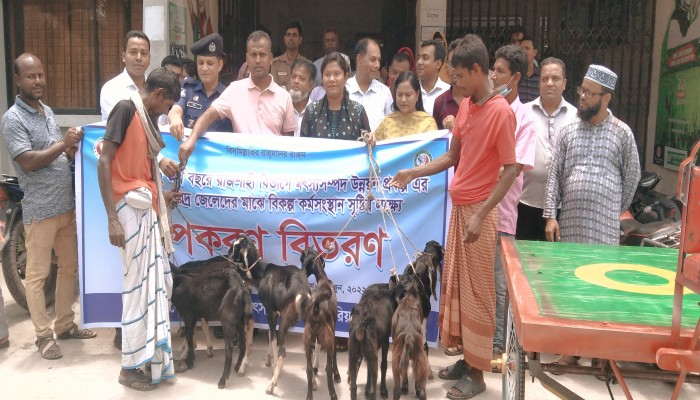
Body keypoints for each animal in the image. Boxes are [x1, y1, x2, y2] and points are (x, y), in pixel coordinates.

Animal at [170, 258, 254, 390]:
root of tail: (241, 286)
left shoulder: (189, 314)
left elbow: (189, 336)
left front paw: (189, 362)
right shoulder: (195, 316)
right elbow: (191, 334)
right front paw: (190, 358)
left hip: (227, 319)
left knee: (229, 347)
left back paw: (223, 380)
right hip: (240, 319)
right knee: (242, 342)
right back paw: (237, 367)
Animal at [231, 234, 310, 394]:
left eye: (236, 246)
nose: (229, 255)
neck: (263, 272)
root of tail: (303, 290)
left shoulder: (270, 311)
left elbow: (273, 339)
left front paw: (271, 367)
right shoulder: (275, 312)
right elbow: (269, 334)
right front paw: (268, 360)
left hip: (286, 317)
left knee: (283, 352)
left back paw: (271, 385)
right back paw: (315, 383)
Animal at [300, 247, 342, 400]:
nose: (303, 273)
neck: (323, 278)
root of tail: (316, 307)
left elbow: (317, 347)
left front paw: (316, 367)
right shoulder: (333, 328)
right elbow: (334, 353)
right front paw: (337, 374)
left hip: (307, 340)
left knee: (307, 369)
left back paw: (309, 395)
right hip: (328, 337)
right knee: (329, 366)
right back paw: (333, 393)